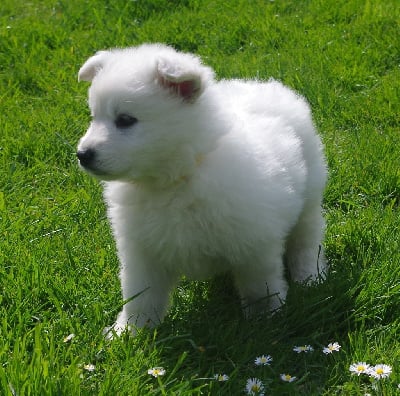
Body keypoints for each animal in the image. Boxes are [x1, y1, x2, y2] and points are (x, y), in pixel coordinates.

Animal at [76, 42, 326, 334]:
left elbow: (259, 286)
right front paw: (129, 332)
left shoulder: (253, 242)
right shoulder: (142, 251)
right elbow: (140, 295)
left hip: (309, 199)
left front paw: (265, 321)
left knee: (306, 241)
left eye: (125, 120)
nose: (82, 154)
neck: (177, 177)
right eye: (94, 116)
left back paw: (310, 277)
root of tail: (269, 87)